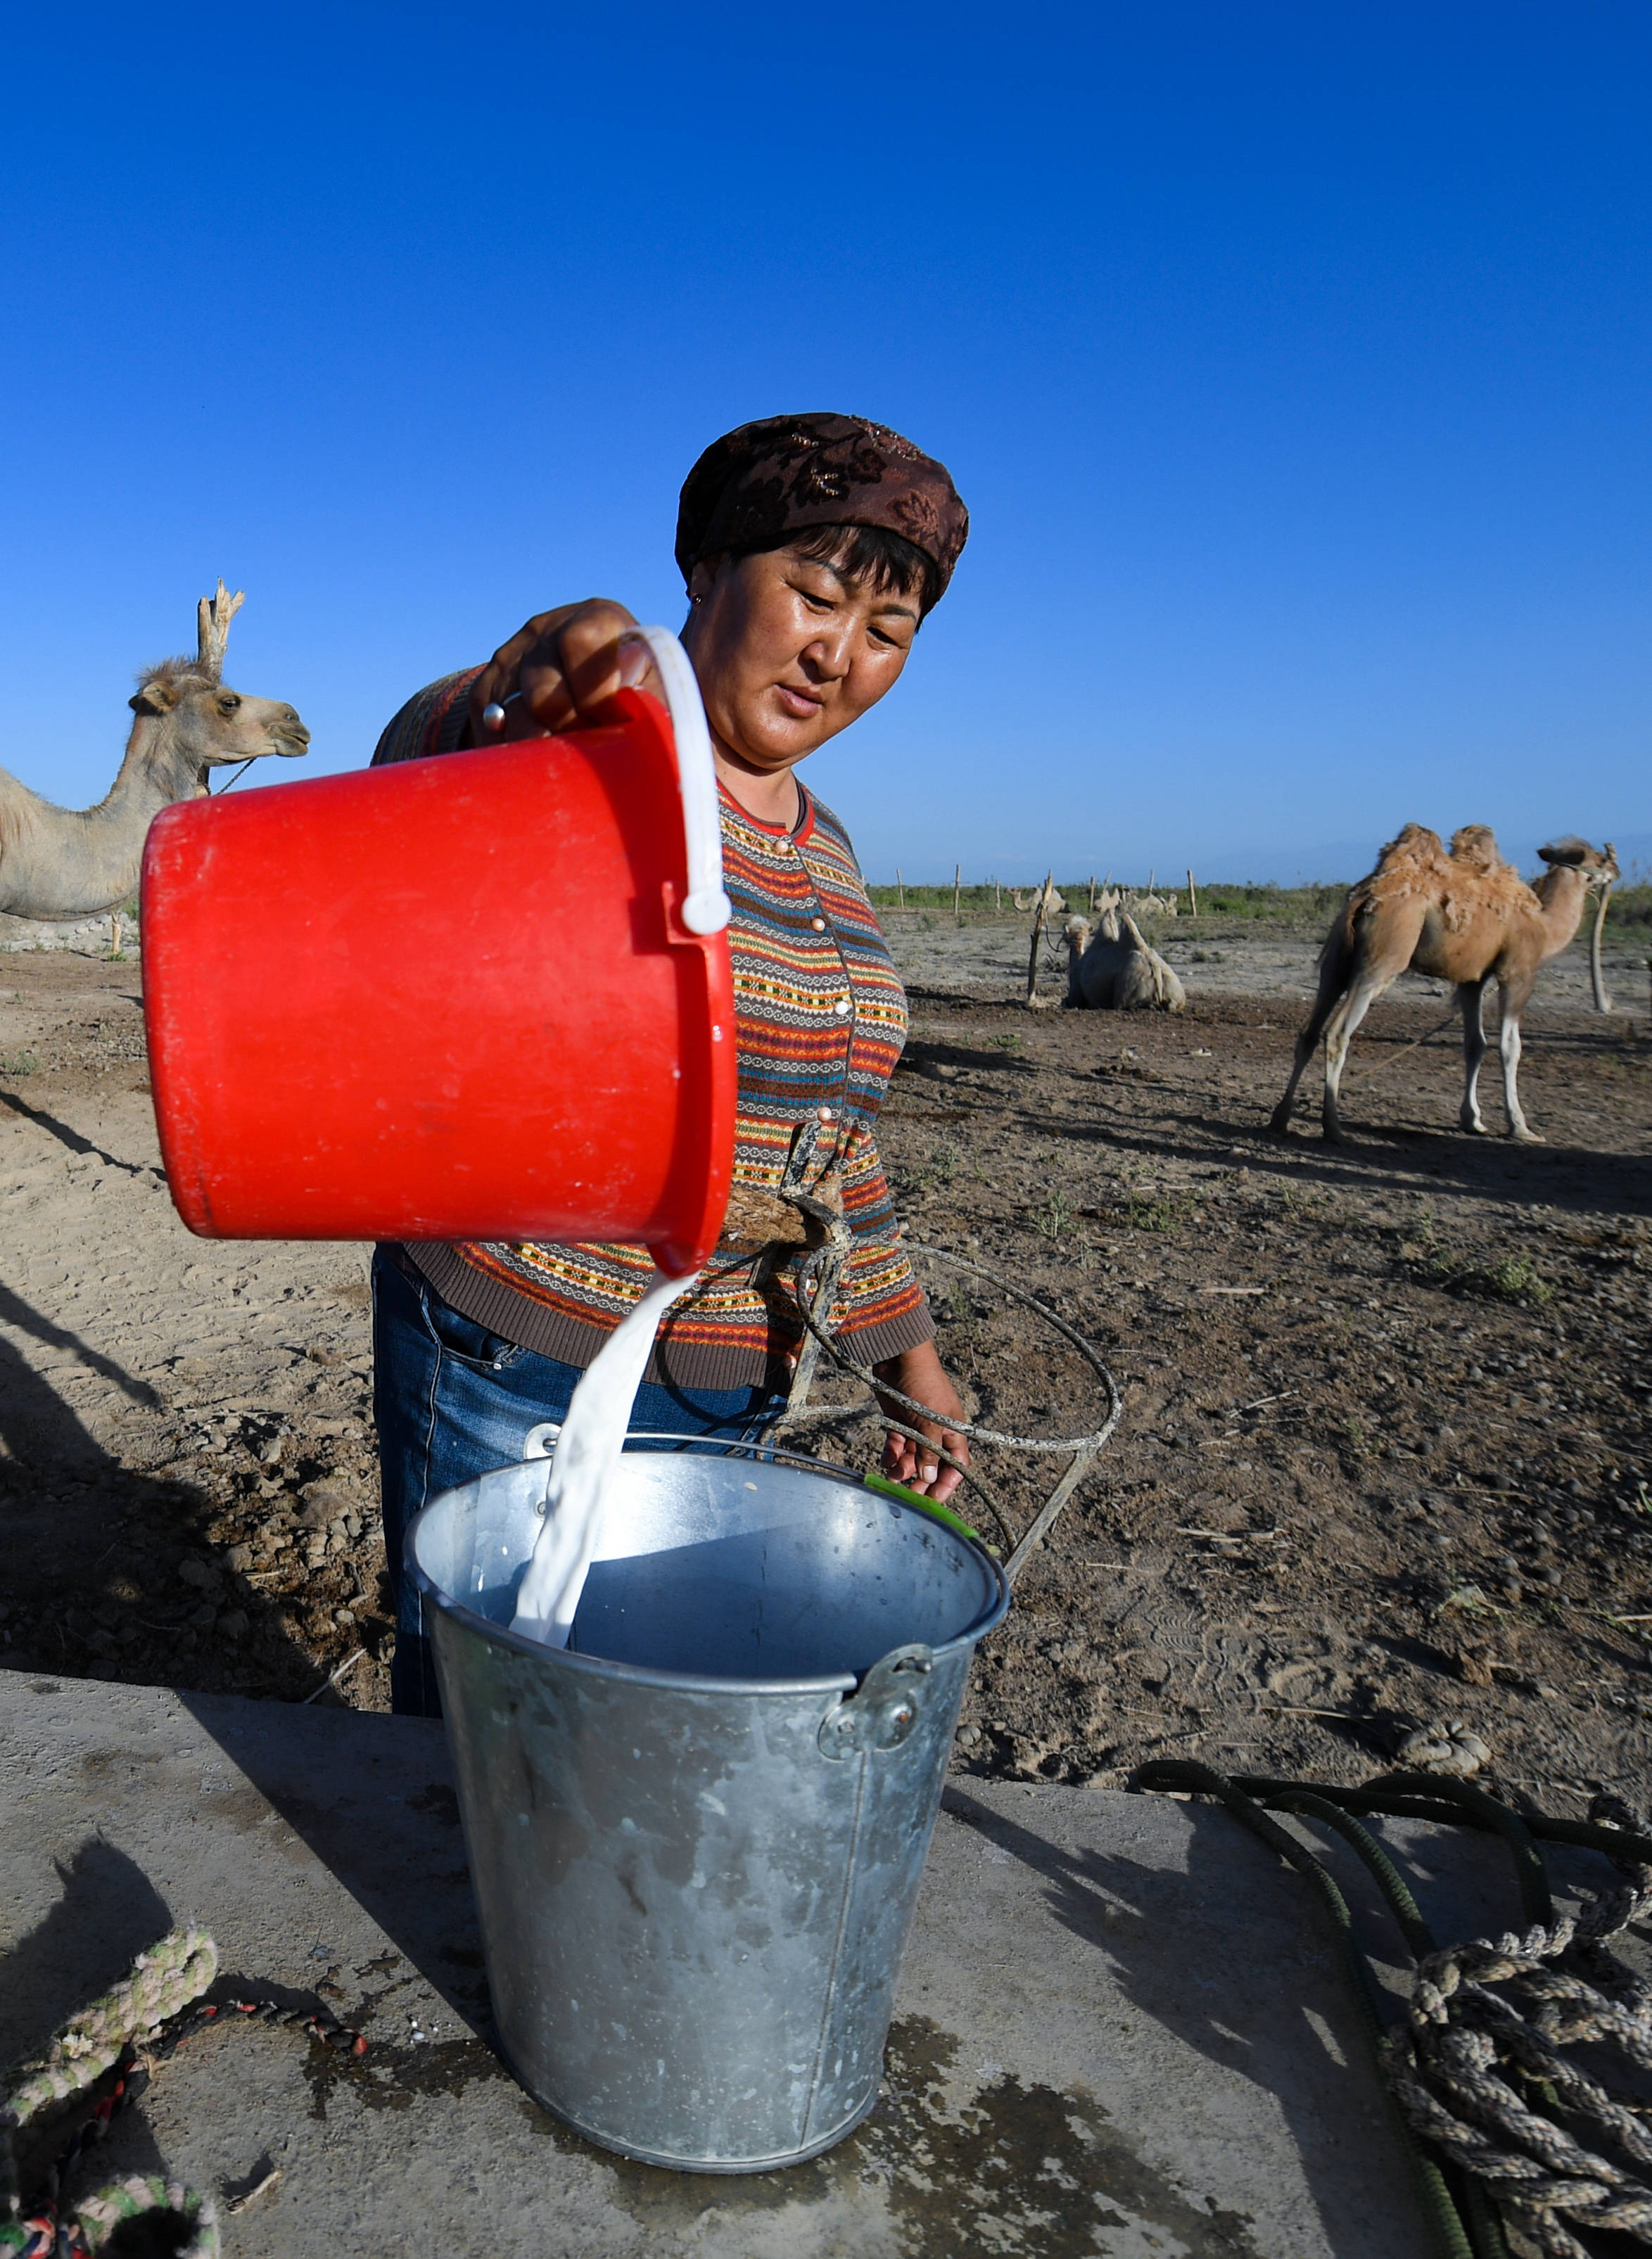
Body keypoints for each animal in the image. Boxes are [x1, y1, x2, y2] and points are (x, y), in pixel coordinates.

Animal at [1274, 822, 1618, 1147]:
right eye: (1597, 859)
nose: (1616, 868)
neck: (1545, 926)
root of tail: (1364, 898)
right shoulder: (1517, 972)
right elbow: (1510, 1047)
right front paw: (1521, 1127)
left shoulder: (1472, 980)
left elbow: (1475, 1044)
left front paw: (1472, 1120)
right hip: (1383, 961)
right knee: (1337, 1033)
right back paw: (1333, 1129)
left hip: (1337, 960)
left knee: (1310, 1032)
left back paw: (1282, 1118)